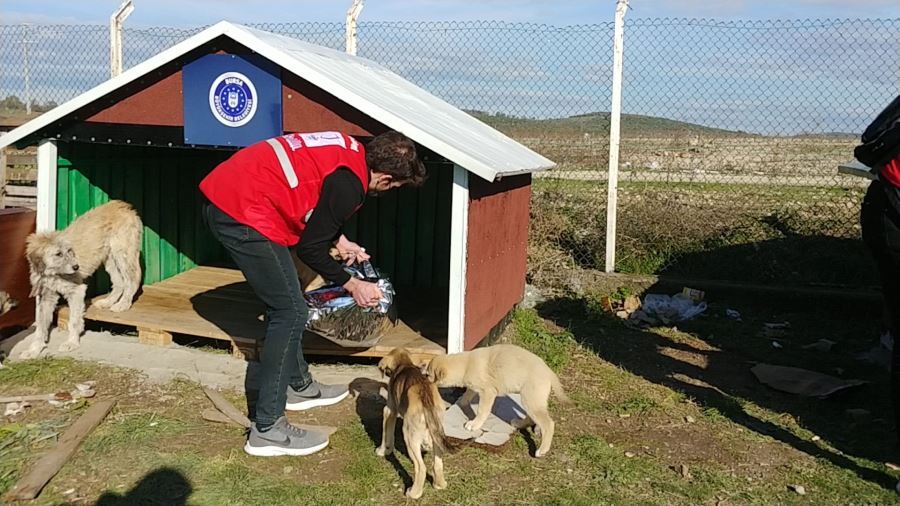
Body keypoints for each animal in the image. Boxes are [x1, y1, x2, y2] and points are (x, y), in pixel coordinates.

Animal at [374, 348, 454, 498]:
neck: (405, 364)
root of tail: (425, 396)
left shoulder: (389, 410)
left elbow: (386, 435)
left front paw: (382, 451)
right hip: (437, 432)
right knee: (437, 463)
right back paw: (439, 485)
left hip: (408, 434)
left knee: (421, 467)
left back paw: (413, 493)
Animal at [424, 344, 568, 458]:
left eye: (429, 374)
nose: (422, 374)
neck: (465, 364)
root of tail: (549, 372)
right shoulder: (475, 387)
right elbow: (467, 394)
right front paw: (462, 402)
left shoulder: (488, 392)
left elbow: (482, 410)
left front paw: (474, 424)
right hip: (530, 400)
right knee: (532, 417)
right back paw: (519, 423)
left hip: (531, 399)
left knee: (548, 424)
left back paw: (542, 450)